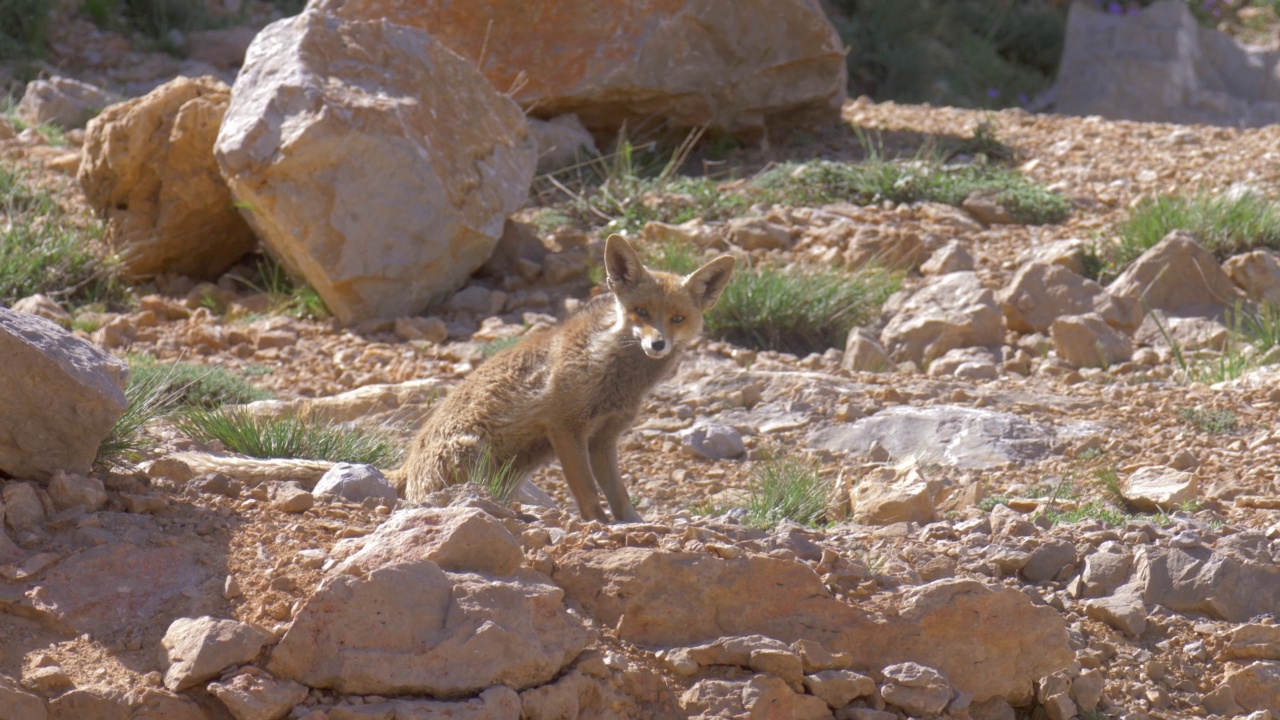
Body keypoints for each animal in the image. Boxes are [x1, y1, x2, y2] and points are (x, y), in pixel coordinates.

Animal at [399, 235, 742, 520]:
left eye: (678, 318)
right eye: (641, 312)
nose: (657, 344)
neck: (615, 379)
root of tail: (406, 468)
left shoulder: (605, 437)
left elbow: (620, 497)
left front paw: (633, 524)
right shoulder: (564, 426)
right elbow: (588, 493)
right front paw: (600, 525)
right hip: (475, 454)